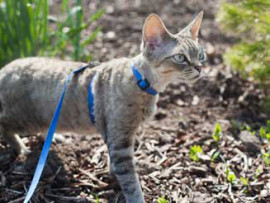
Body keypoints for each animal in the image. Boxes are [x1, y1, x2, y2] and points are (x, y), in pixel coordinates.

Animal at [0, 11, 206, 202]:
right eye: (180, 57)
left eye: (201, 55)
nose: (199, 67)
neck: (142, 82)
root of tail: (5, 69)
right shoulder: (120, 138)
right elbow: (130, 180)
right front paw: (136, 197)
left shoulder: (114, 135)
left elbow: (112, 160)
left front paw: (112, 173)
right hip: (24, 120)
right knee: (4, 125)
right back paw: (21, 148)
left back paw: (53, 137)